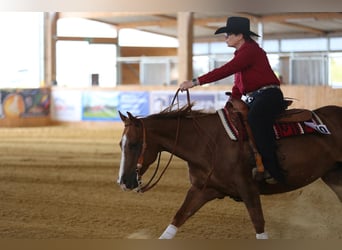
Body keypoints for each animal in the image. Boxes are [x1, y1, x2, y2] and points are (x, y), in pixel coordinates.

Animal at [117, 99, 342, 238]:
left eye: (134, 144)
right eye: (121, 144)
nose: (123, 182)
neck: (207, 143)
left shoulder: (248, 189)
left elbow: (259, 224)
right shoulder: (202, 190)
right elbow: (177, 219)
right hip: (334, 175)